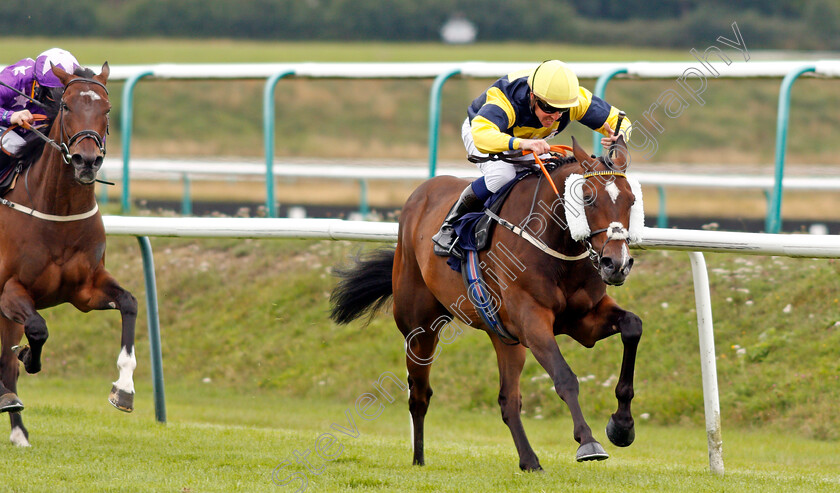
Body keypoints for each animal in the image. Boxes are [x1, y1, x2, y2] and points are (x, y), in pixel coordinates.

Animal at [0, 62, 136, 446]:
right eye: (66, 105)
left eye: (107, 109)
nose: (86, 160)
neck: (57, 212)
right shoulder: (9, 289)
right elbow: (37, 328)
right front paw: (30, 357)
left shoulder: (85, 290)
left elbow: (130, 302)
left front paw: (124, 389)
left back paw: (18, 428)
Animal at [330, 135, 644, 468]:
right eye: (587, 198)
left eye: (631, 200)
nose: (616, 264)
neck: (557, 247)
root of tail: (421, 193)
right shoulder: (532, 321)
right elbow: (565, 377)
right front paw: (588, 441)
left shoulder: (583, 320)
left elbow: (632, 326)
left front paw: (622, 426)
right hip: (419, 327)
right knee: (419, 394)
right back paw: (418, 460)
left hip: (504, 337)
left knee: (508, 400)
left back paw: (530, 461)